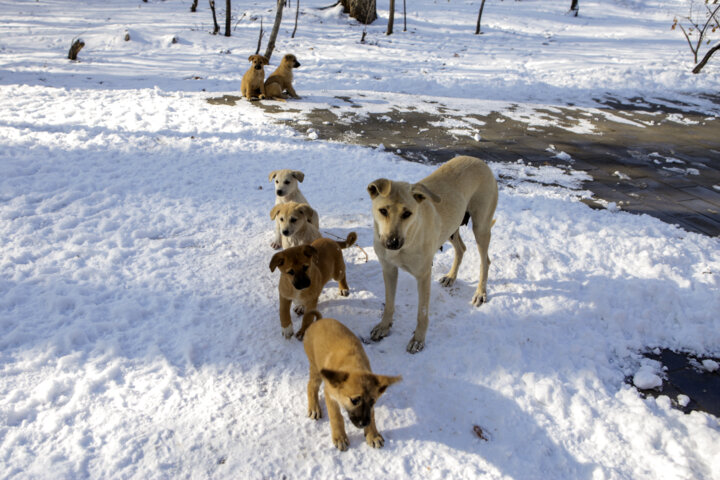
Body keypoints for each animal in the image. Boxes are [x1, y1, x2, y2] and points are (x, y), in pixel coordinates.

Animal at [368, 156, 498, 354]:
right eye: (383, 211)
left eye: (407, 213)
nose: (392, 243)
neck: (409, 236)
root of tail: (480, 161)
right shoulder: (388, 269)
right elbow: (389, 303)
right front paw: (384, 326)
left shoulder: (423, 275)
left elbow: (422, 312)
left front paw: (418, 340)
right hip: (452, 228)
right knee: (461, 248)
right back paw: (451, 277)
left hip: (481, 227)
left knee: (486, 261)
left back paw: (480, 293)